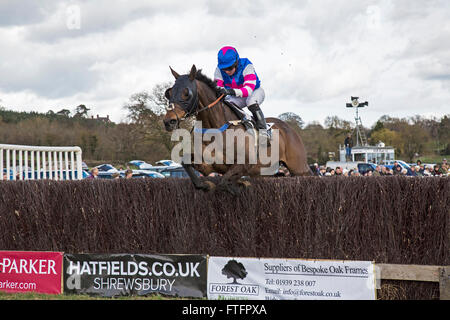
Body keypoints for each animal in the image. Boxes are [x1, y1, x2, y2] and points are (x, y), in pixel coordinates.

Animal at [163, 63, 312, 191]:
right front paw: (207, 185)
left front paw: (241, 185)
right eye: (169, 93)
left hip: (299, 169)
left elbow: (225, 182)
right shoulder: (208, 165)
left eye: (186, 93)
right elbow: (187, 164)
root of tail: (289, 128)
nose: (168, 121)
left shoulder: (244, 164)